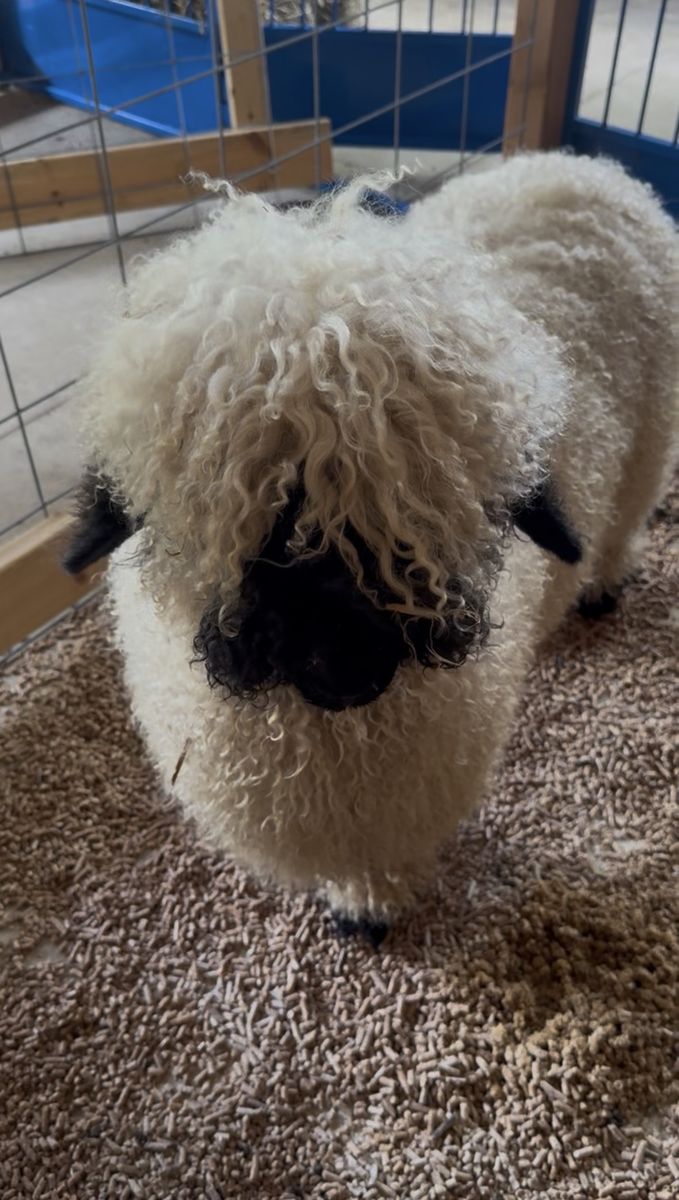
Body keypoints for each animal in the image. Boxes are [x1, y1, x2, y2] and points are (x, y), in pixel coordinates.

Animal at [65, 152, 678, 938]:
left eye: (425, 502)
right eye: (254, 506)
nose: (346, 662)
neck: (323, 737)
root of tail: (584, 167)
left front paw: (366, 909)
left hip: (649, 441)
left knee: (625, 518)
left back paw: (602, 585)